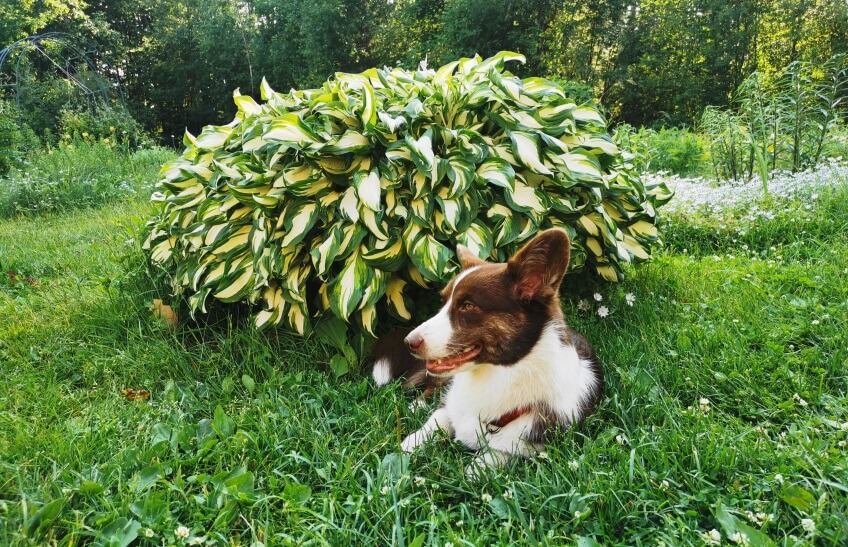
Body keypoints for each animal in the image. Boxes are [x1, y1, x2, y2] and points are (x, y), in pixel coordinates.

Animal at [372, 229, 604, 474]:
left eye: (468, 306)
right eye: (443, 302)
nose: (409, 342)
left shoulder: (521, 448)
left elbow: (482, 464)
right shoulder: (449, 407)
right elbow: (431, 425)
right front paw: (403, 451)